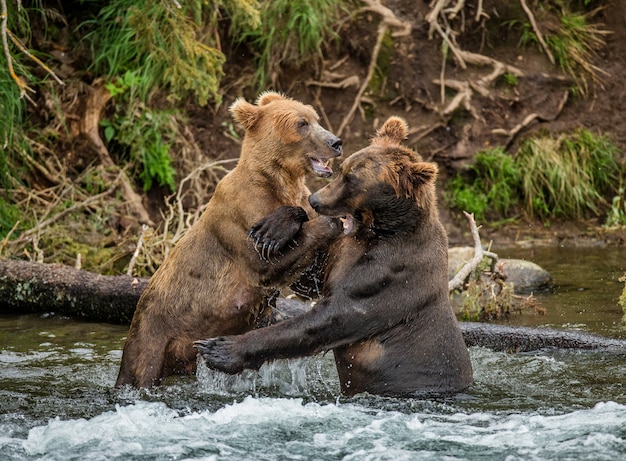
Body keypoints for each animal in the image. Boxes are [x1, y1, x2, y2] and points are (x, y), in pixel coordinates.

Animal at [116, 91, 342, 386]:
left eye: (315, 118)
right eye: (301, 124)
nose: (336, 142)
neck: (279, 181)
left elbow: (310, 280)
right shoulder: (241, 214)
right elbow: (265, 263)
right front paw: (287, 228)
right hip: (153, 332)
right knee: (140, 368)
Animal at [193, 115, 470, 396]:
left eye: (352, 180)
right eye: (342, 171)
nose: (315, 200)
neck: (377, 231)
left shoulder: (386, 274)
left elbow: (328, 318)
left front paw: (219, 349)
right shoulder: (344, 251)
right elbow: (308, 276)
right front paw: (274, 228)